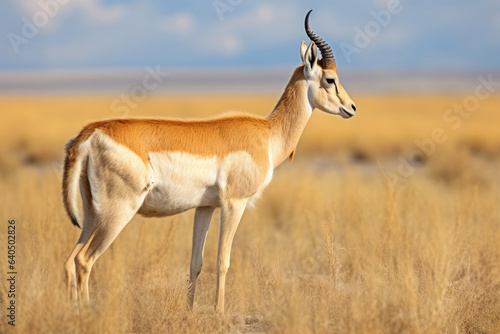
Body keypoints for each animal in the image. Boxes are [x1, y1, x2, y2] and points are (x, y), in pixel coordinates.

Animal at [62, 10, 356, 314]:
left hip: (91, 214)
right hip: (118, 212)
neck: (267, 135)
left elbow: (196, 262)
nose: (352, 107)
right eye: (330, 79)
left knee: (69, 261)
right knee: (84, 260)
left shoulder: (204, 207)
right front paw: (220, 311)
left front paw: (190, 310)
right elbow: (222, 261)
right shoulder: (234, 204)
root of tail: (88, 135)